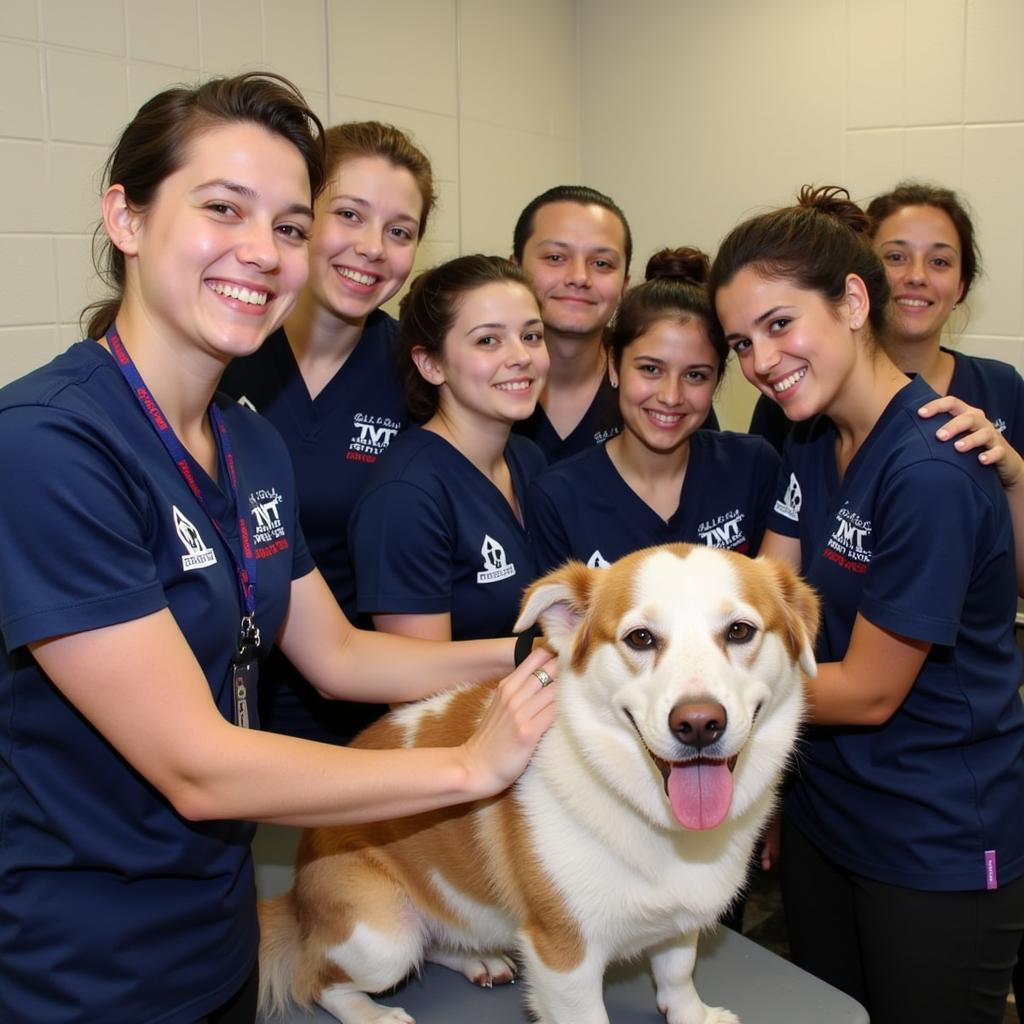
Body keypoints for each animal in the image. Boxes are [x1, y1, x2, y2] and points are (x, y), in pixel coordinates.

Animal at [260, 544, 819, 1024]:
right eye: (640, 638)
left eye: (740, 631)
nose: (699, 723)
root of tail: (296, 892)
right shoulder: (564, 959)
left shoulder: (681, 921)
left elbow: (678, 975)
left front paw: (693, 1015)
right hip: (382, 939)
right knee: (319, 982)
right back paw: (373, 1012)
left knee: (435, 940)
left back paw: (477, 959)